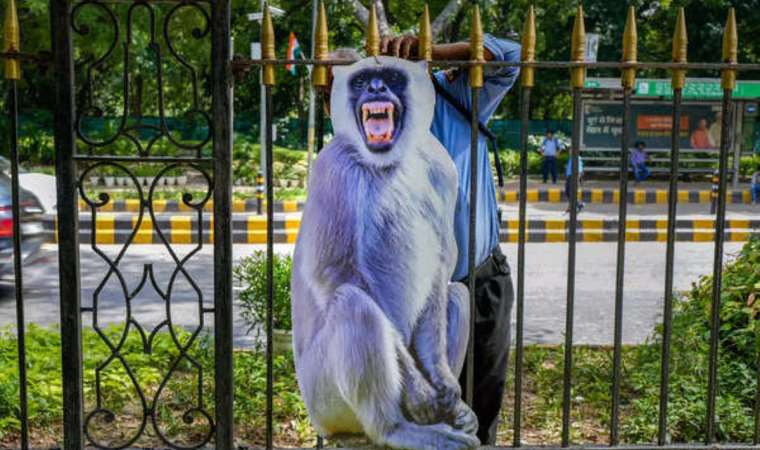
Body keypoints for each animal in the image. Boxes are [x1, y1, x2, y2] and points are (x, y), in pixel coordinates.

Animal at [291, 56, 479, 450]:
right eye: (363, 81)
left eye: (391, 77)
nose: (377, 88)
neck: (385, 162)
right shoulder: (333, 166)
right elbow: (333, 274)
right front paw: (421, 392)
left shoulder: (441, 167)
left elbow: (442, 265)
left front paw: (442, 382)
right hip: (323, 399)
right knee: (353, 303)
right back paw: (395, 429)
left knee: (456, 293)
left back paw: (453, 413)